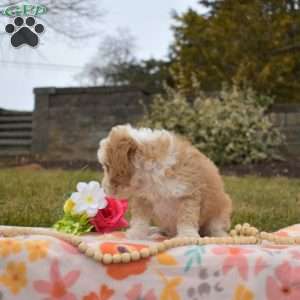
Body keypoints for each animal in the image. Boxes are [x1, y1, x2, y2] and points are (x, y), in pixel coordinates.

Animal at [98, 124, 232, 239]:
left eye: (107, 167)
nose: (104, 189)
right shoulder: (143, 198)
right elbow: (140, 219)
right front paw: (136, 234)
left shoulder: (188, 193)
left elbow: (187, 217)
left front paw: (187, 236)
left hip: (222, 209)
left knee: (215, 226)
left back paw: (219, 234)